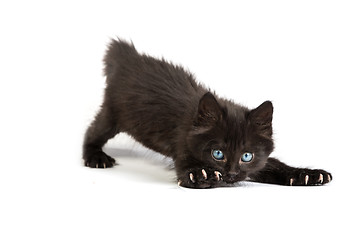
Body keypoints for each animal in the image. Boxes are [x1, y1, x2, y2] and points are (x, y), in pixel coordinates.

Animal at [82, 39, 332, 188]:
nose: (230, 174)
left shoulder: (259, 162)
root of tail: (129, 55)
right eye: (217, 153)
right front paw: (204, 174)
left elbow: (275, 164)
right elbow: (188, 172)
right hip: (112, 113)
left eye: (247, 156)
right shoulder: (181, 144)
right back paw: (96, 157)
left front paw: (308, 174)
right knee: (92, 132)